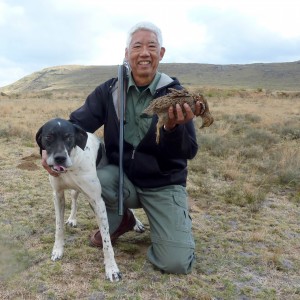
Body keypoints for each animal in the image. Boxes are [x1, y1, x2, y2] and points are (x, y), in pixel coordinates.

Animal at [36, 118, 142, 282]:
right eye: (48, 137)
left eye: (69, 137)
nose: (60, 158)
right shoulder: (57, 195)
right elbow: (58, 227)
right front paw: (58, 250)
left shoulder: (97, 200)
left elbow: (106, 240)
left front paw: (112, 269)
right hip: (75, 190)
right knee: (74, 199)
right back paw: (72, 219)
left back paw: (136, 223)